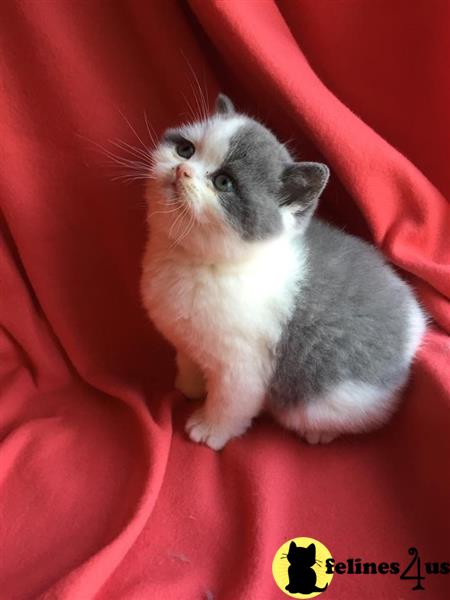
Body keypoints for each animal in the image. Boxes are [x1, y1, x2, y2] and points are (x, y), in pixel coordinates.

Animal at [141, 94, 426, 450]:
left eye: (223, 182)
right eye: (185, 150)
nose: (182, 170)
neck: (194, 261)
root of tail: (415, 324)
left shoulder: (243, 368)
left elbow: (229, 404)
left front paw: (210, 428)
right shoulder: (186, 338)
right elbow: (188, 360)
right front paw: (189, 386)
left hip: (330, 398)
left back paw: (319, 433)